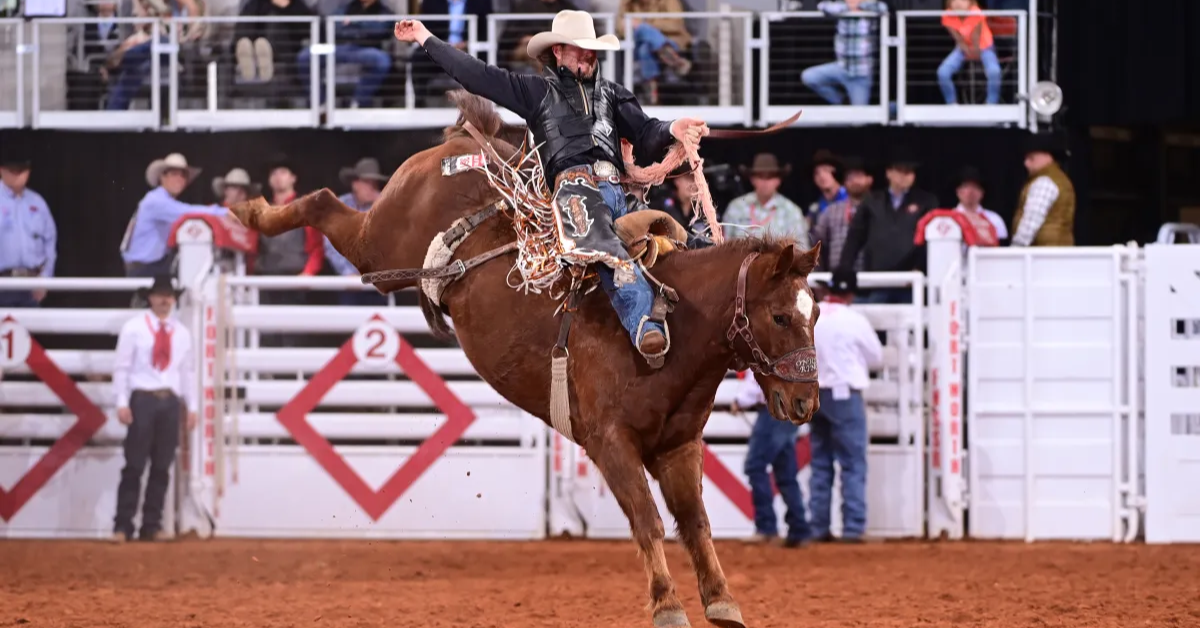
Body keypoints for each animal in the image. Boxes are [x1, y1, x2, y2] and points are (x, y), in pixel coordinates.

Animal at [225, 89, 825, 628]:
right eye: (779, 317)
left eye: (816, 313)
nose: (805, 402)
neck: (675, 324)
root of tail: (471, 143)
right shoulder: (610, 443)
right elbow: (648, 521)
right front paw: (667, 607)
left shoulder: (678, 447)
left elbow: (695, 523)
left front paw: (722, 603)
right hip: (380, 242)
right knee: (324, 201)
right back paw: (248, 209)